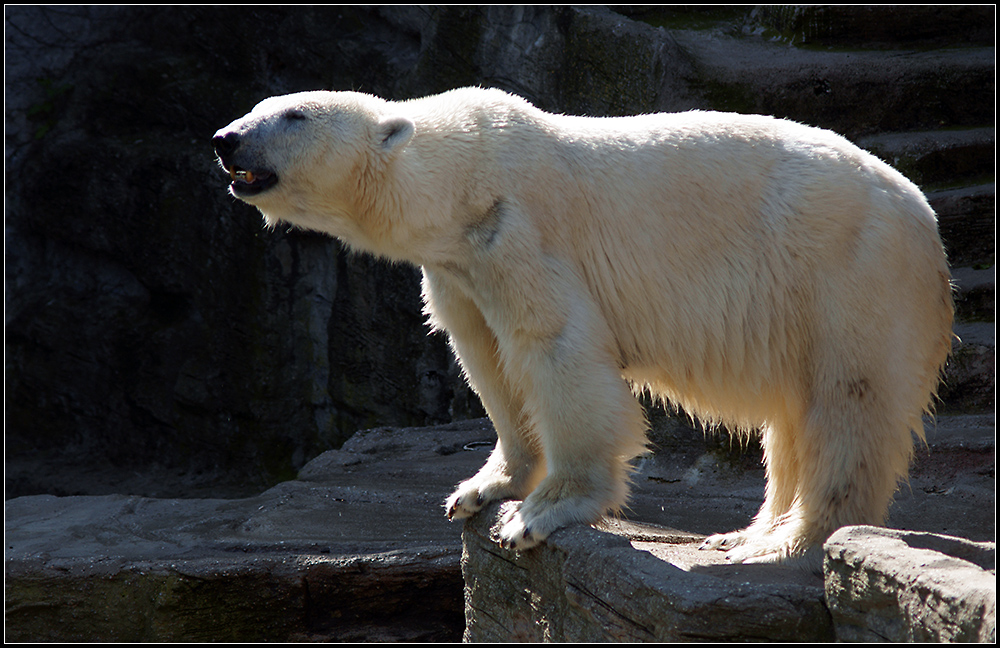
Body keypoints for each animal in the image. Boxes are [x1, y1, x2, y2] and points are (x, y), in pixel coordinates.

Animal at [213, 86, 952, 560]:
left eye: (294, 113)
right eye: (260, 107)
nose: (226, 138)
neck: (464, 177)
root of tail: (925, 218)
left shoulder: (521, 233)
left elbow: (554, 352)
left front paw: (535, 516)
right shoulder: (460, 271)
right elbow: (487, 362)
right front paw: (480, 490)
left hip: (849, 277)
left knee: (847, 406)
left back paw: (788, 542)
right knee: (794, 423)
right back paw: (747, 533)